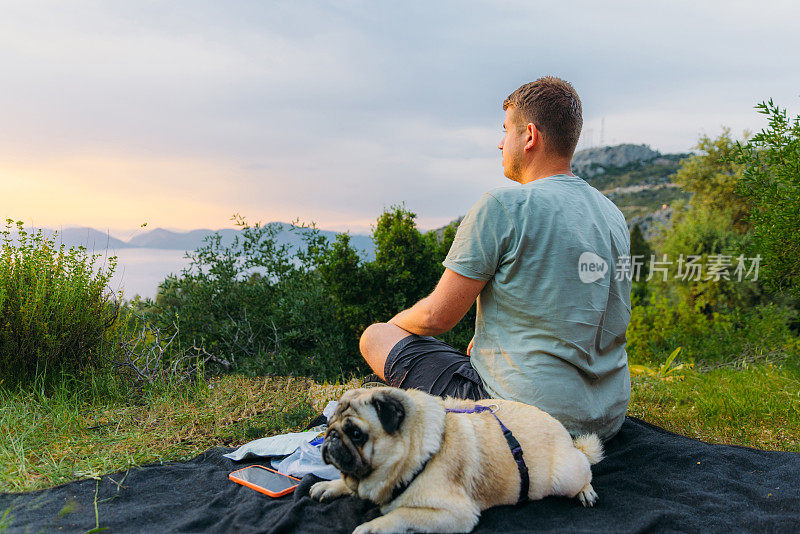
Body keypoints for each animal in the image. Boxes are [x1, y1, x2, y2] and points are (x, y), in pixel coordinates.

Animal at [310, 390, 604, 534]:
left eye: (355, 433)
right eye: (328, 423)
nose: (331, 436)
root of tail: (567, 438)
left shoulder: (456, 514)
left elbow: (400, 514)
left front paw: (371, 527)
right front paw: (331, 486)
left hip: (565, 475)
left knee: (586, 470)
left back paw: (585, 491)